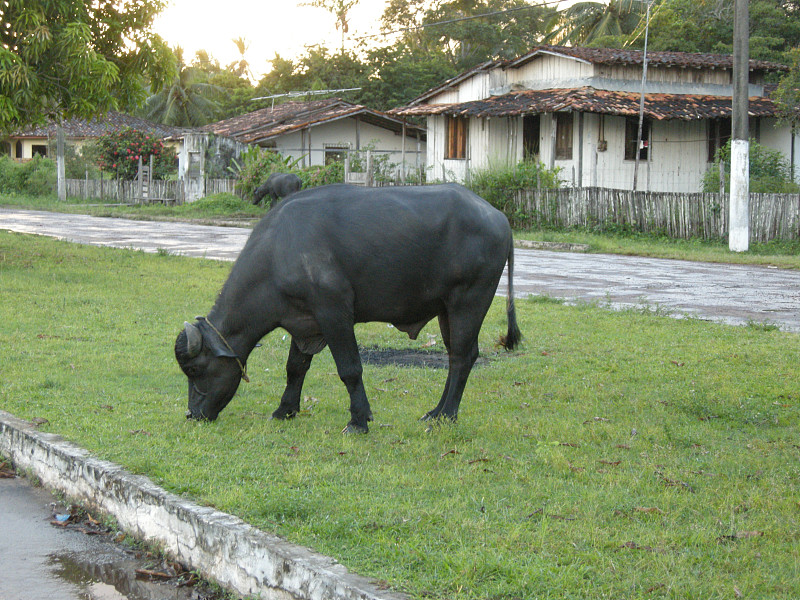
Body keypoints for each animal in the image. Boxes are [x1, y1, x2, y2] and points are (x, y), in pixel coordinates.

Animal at [175, 183, 520, 432]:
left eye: (194, 369)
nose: (193, 414)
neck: (279, 252)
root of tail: (499, 218)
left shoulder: (334, 313)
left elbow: (350, 369)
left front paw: (358, 420)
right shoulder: (303, 322)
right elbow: (295, 368)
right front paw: (285, 409)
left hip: (469, 300)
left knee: (463, 356)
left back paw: (446, 415)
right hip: (446, 309)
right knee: (453, 357)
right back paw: (435, 411)